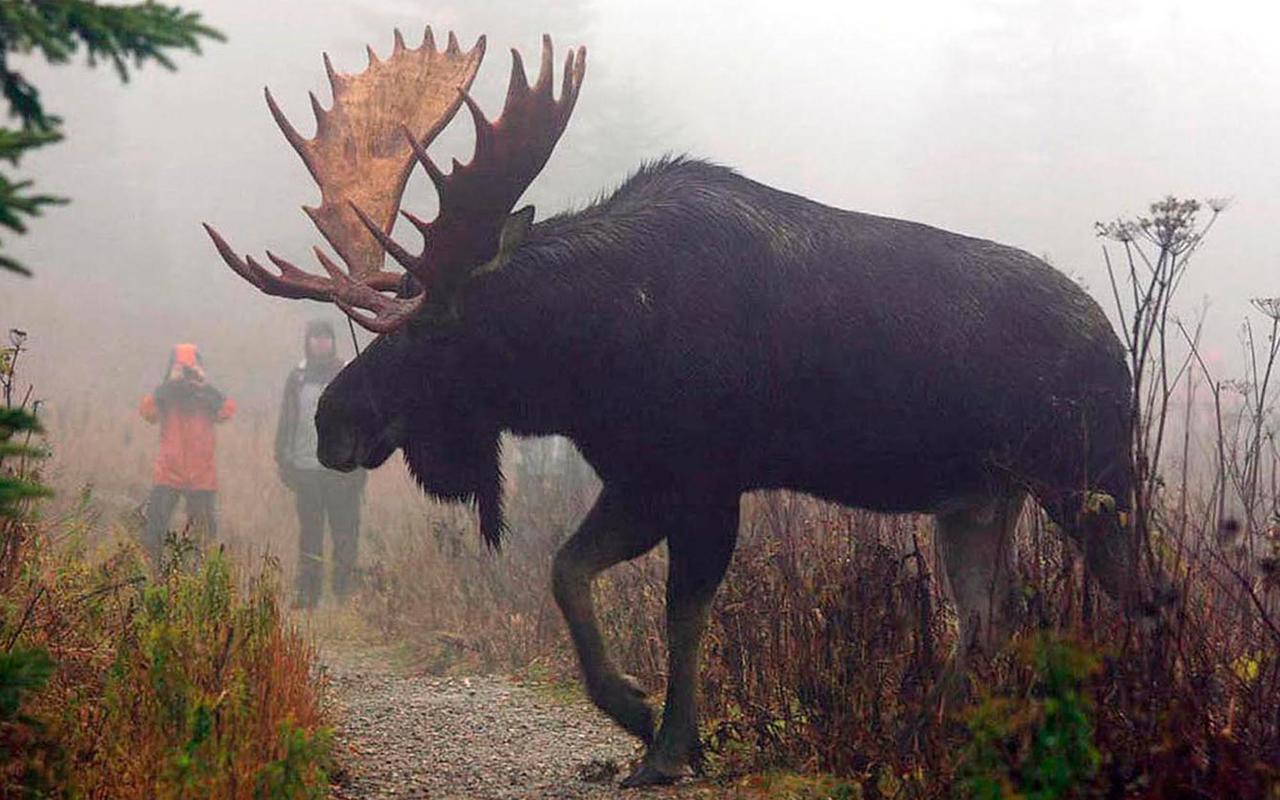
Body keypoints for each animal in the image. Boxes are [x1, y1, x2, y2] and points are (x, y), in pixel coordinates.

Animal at [204, 28, 1136, 783]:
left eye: (439, 332)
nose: (332, 421)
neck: (593, 353)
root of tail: (1115, 341)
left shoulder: (705, 477)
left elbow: (681, 612)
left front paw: (669, 745)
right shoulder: (640, 476)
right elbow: (567, 570)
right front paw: (634, 709)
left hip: (1091, 476)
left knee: (1135, 593)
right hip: (978, 497)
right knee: (986, 615)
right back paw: (923, 736)